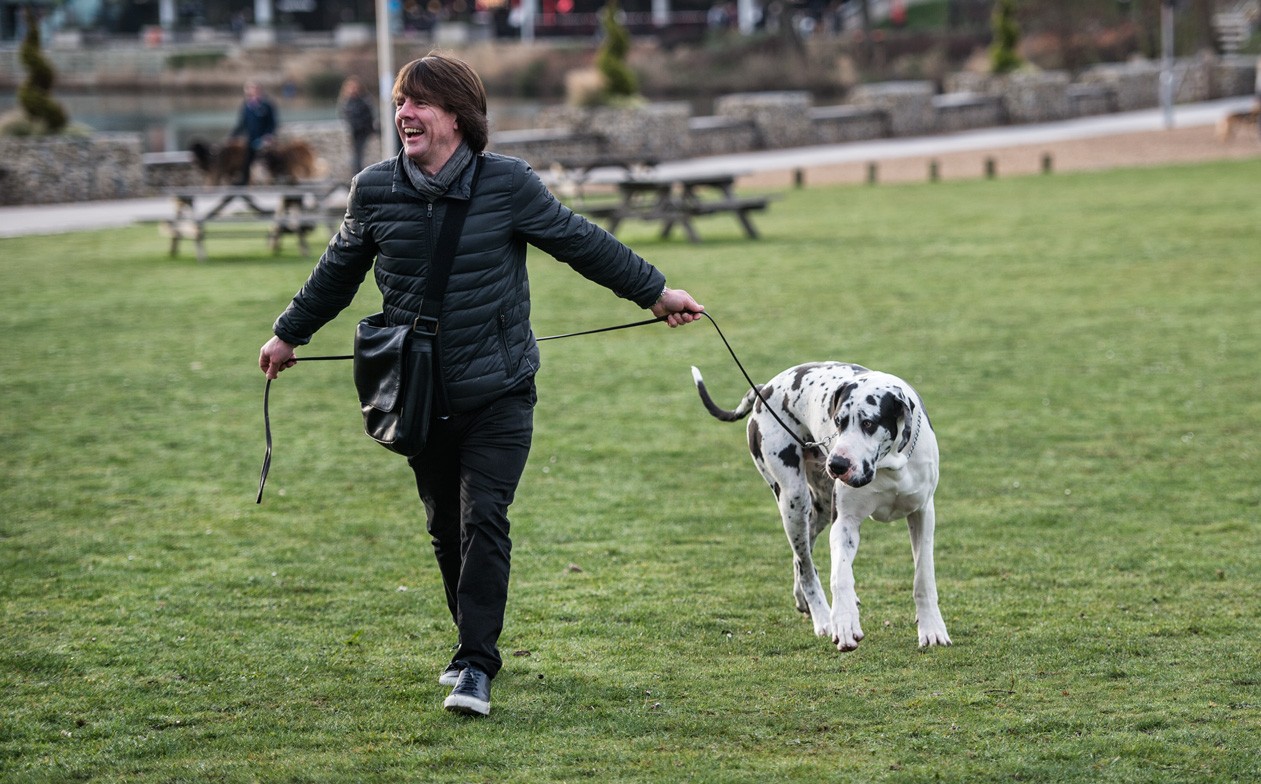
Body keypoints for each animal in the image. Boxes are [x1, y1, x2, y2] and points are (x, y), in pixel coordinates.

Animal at [692, 362, 950, 651]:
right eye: (838, 421)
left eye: (869, 423)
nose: (837, 464)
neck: (891, 465)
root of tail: (764, 388)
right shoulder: (845, 523)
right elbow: (840, 575)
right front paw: (845, 622)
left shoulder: (923, 514)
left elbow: (923, 577)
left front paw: (932, 629)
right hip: (794, 500)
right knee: (805, 565)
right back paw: (824, 618)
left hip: (821, 508)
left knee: (801, 557)